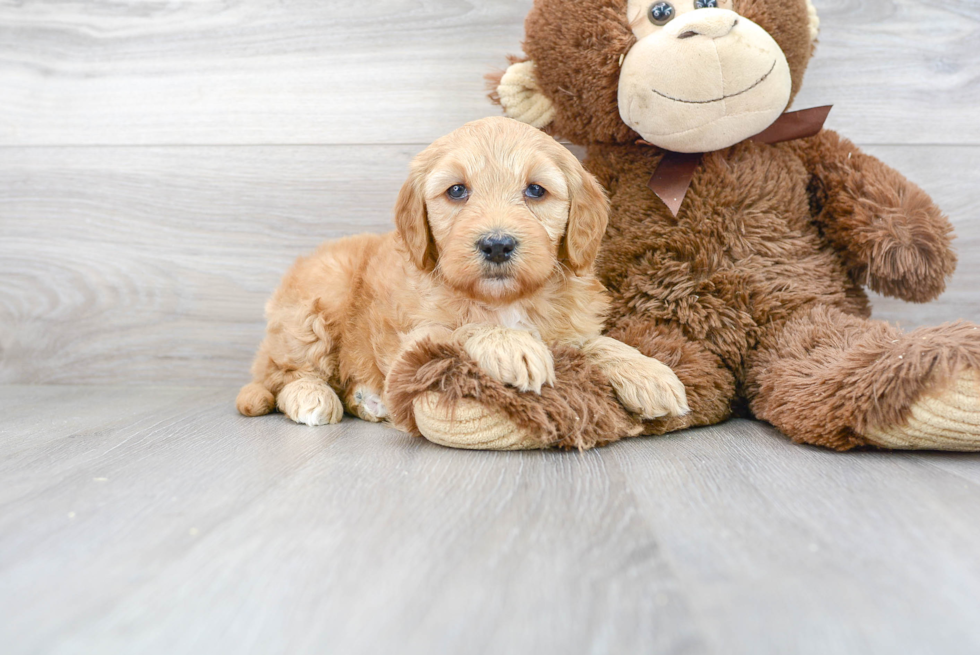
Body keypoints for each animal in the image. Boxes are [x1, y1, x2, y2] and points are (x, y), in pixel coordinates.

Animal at [235, 118, 688, 430]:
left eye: (535, 190)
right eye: (456, 191)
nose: (497, 244)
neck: (505, 300)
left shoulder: (570, 326)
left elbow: (595, 343)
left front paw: (647, 372)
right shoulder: (414, 338)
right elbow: (461, 329)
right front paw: (511, 345)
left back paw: (367, 400)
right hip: (315, 306)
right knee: (284, 376)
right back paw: (311, 397)